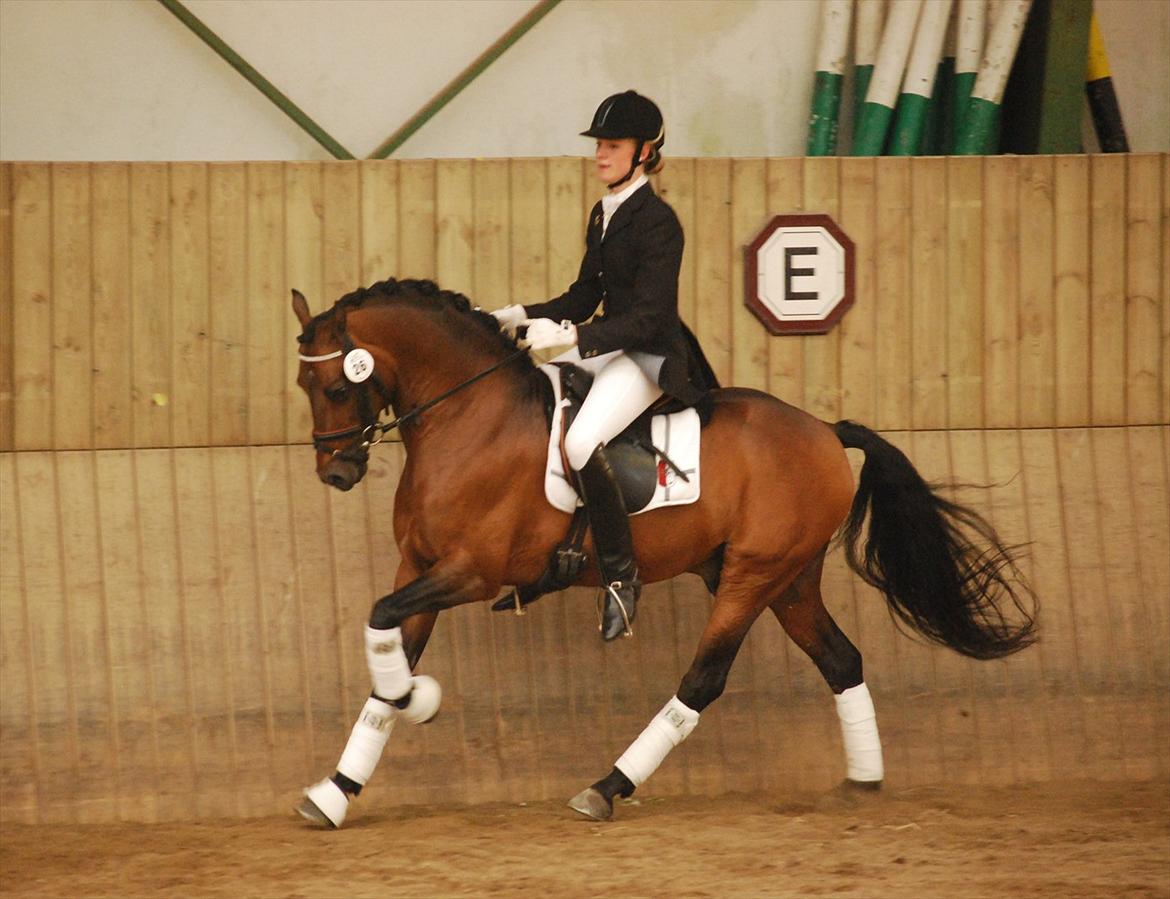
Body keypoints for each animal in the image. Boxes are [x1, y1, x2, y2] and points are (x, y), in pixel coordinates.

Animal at [287, 278, 1038, 828]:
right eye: (305, 388)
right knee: (841, 660)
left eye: (337, 386)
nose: (336, 473)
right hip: (788, 579)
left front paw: (418, 701)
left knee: (703, 680)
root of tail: (825, 430)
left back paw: (606, 786)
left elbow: (384, 625)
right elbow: (387, 645)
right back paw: (865, 777)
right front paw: (338, 787)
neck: (471, 418)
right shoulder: (419, 566)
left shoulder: (472, 572)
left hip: (751, 576)